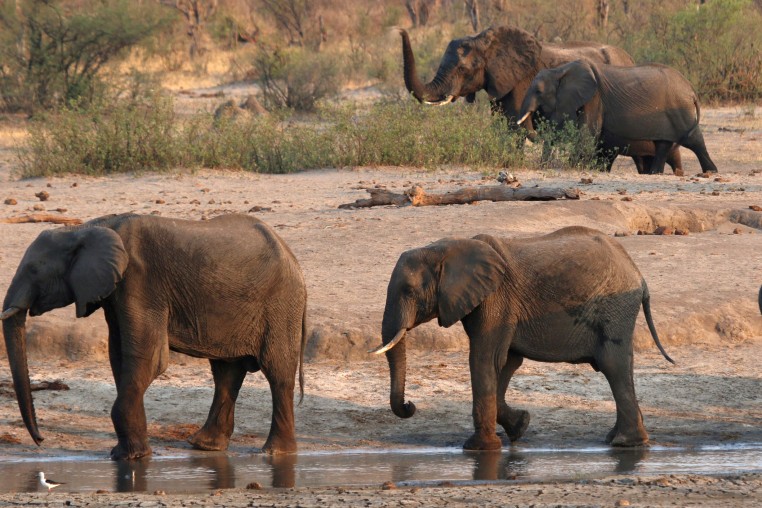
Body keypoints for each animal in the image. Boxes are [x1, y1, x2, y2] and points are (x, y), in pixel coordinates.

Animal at [1, 213, 307, 460]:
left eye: (34, 270)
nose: (40, 440)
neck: (89, 227)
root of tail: (293, 258)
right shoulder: (116, 291)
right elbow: (119, 356)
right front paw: (128, 453)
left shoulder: (140, 282)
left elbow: (148, 358)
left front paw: (130, 458)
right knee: (226, 372)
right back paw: (204, 446)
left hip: (281, 305)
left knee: (277, 373)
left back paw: (275, 452)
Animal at [371, 226, 674, 450]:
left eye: (409, 291)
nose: (410, 406)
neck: (447, 248)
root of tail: (639, 274)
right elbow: (506, 363)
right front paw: (521, 426)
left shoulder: (496, 300)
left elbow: (485, 359)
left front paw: (478, 448)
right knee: (619, 366)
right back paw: (618, 439)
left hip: (615, 309)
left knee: (613, 364)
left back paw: (625, 443)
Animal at [399, 26, 682, 173]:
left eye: (462, 69)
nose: (401, 30)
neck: (487, 41)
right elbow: (501, 125)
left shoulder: (520, 81)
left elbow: (513, 126)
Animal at [518, 60, 718, 174]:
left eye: (538, 91)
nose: (543, 167)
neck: (559, 70)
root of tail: (691, 89)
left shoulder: (595, 98)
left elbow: (587, 133)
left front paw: (572, 167)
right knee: (663, 144)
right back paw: (655, 173)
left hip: (680, 110)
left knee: (693, 139)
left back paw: (711, 171)